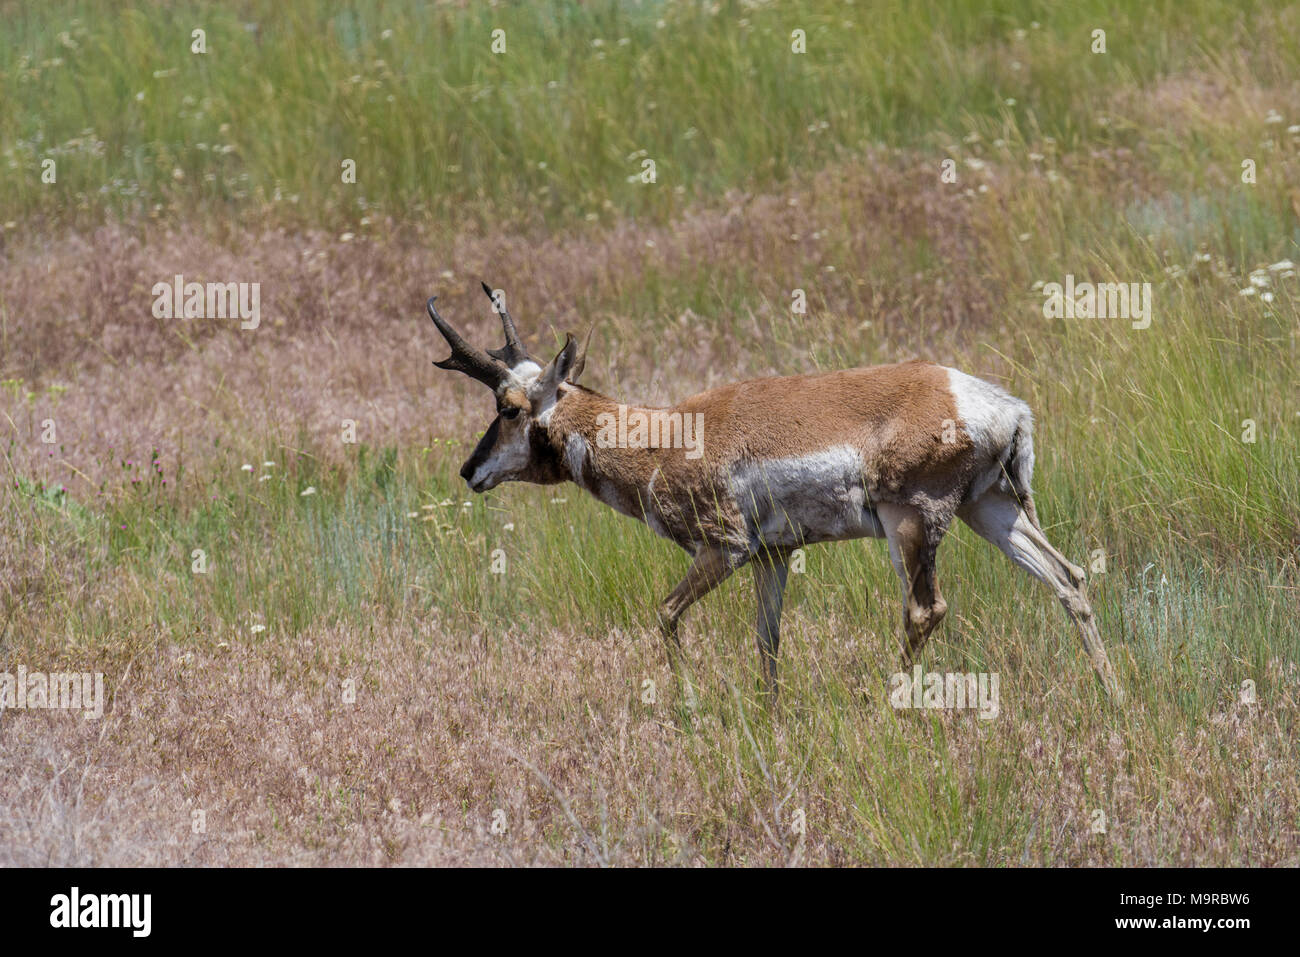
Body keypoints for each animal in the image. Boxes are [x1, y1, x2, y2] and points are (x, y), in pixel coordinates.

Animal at [431, 283, 1123, 702]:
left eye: (509, 407)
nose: (469, 471)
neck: (669, 433)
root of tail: (1000, 404)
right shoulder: (774, 556)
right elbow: (767, 642)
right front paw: (769, 719)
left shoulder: (726, 550)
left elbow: (666, 615)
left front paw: (689, 706)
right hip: (992, 509)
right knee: (1070, 579)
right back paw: (1112, 695)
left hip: (910, 523)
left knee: (925, 610)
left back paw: (885, 707)